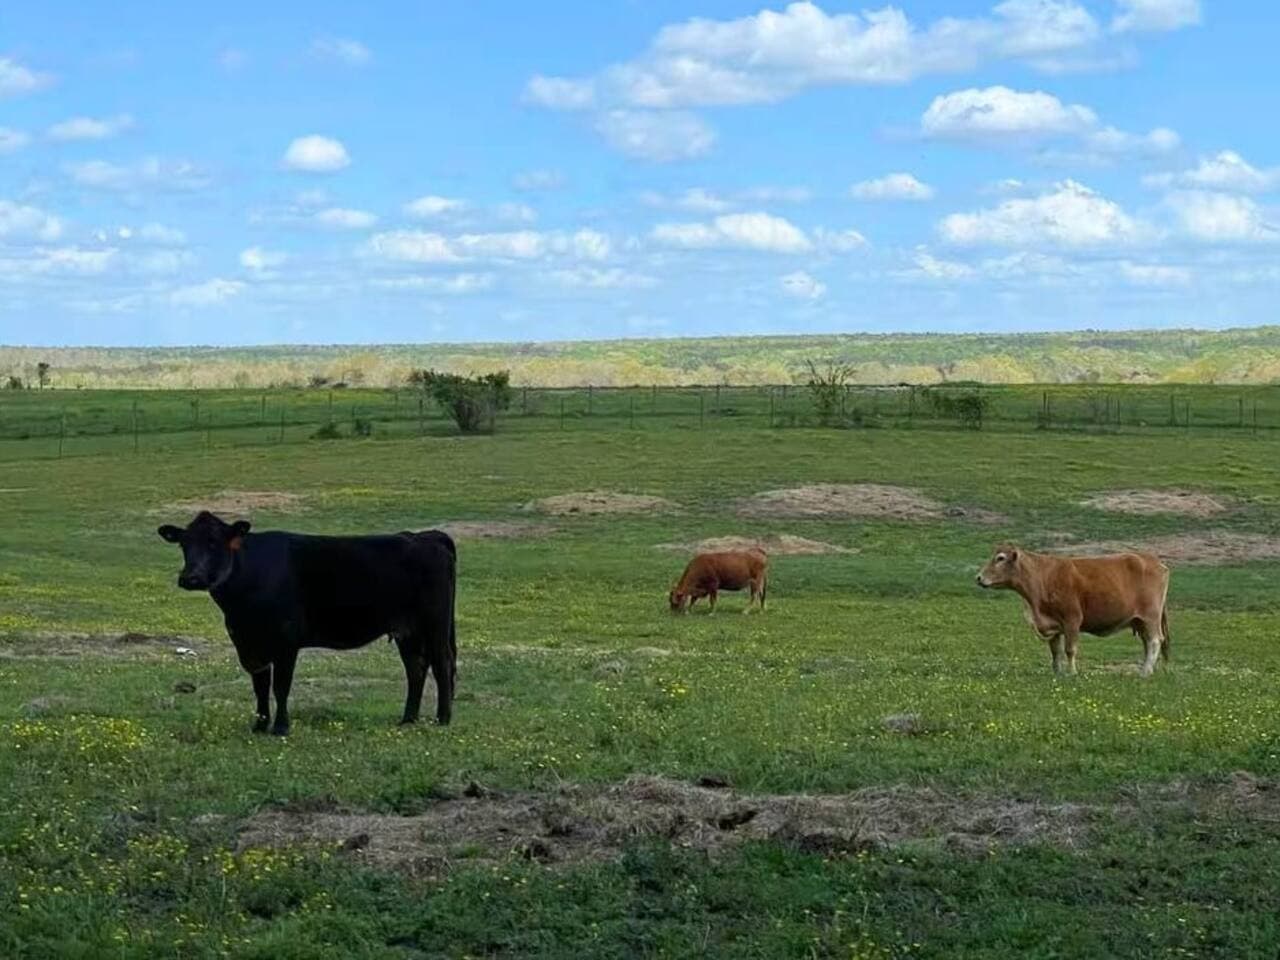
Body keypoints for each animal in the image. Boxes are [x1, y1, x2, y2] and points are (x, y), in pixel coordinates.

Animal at [157, 511, 456, 735]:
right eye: (184, 544)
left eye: (215, 543)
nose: (191, 577)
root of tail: (425, 536)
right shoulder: (247, 642)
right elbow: (260, 686)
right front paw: (260, 725)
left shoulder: (286, 641)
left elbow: (280, 686)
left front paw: (280, 728)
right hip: (407, 631)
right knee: (416, 669)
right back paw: (408, 720)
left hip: (435, 624)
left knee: (442, 665)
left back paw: (442, 719)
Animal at [975, 543, 1170, 677]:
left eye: (1000, 558)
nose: (978, 577)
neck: (1043, 577)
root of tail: (1153, 560)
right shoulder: (1053, 625)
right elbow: (1055, 651)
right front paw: (1057, 672)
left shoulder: (1072, 619)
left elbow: (1070, 649)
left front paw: (1072, 673)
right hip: (1140, 621)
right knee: (1147, 643)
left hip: (1150, 617)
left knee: (1154, 641)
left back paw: (1144, 672)